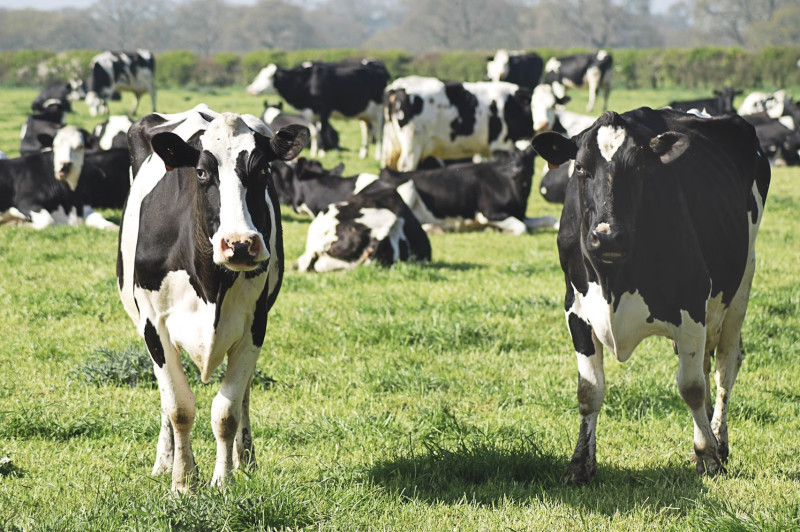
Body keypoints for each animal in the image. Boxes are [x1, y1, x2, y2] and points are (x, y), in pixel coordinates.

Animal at [117, 106, 308, 492]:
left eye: (263, 170)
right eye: (202, 171)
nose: (240, 243)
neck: (210, 284)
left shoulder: (254, 325)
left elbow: (226, 411)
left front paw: (223, 480)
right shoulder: (153, 325)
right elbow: (178, 407)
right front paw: (182, 481)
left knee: (245, 392)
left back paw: (245, 458)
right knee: (166, 400)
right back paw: (164, 460)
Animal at [247, 59, 389, 159]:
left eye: (267, 77)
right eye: (258, 75)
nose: (250, 90)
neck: (307, 80)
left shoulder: (324, 111)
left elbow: (322, 131)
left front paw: (322, 152)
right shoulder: (309, 114)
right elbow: (314, 133)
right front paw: (314, 152)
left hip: (379, 111)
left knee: (379, 132)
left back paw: (378, 155)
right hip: (365, 114)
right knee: (367, 132)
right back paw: (363, 154)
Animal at [378, 143, 557, 235]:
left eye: (529, 158)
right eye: (509, 159)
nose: (517, 171)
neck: (517, 193)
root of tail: (389, 171)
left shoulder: (521, 215)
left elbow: (550, 219)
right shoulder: (488, 213)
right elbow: (522, 228)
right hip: (407, 188)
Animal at [530, 107, 770, 484]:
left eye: (639, 167)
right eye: (580, 167)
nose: (607, 236)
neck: (613, 279)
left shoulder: (691, 304)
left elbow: (691, 387)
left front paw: (707, 456)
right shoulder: (576, 310)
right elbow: (589, 390)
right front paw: (580, 463)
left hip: (742, 281)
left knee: (724, 366)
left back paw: (720, 440)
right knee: (707, 364)